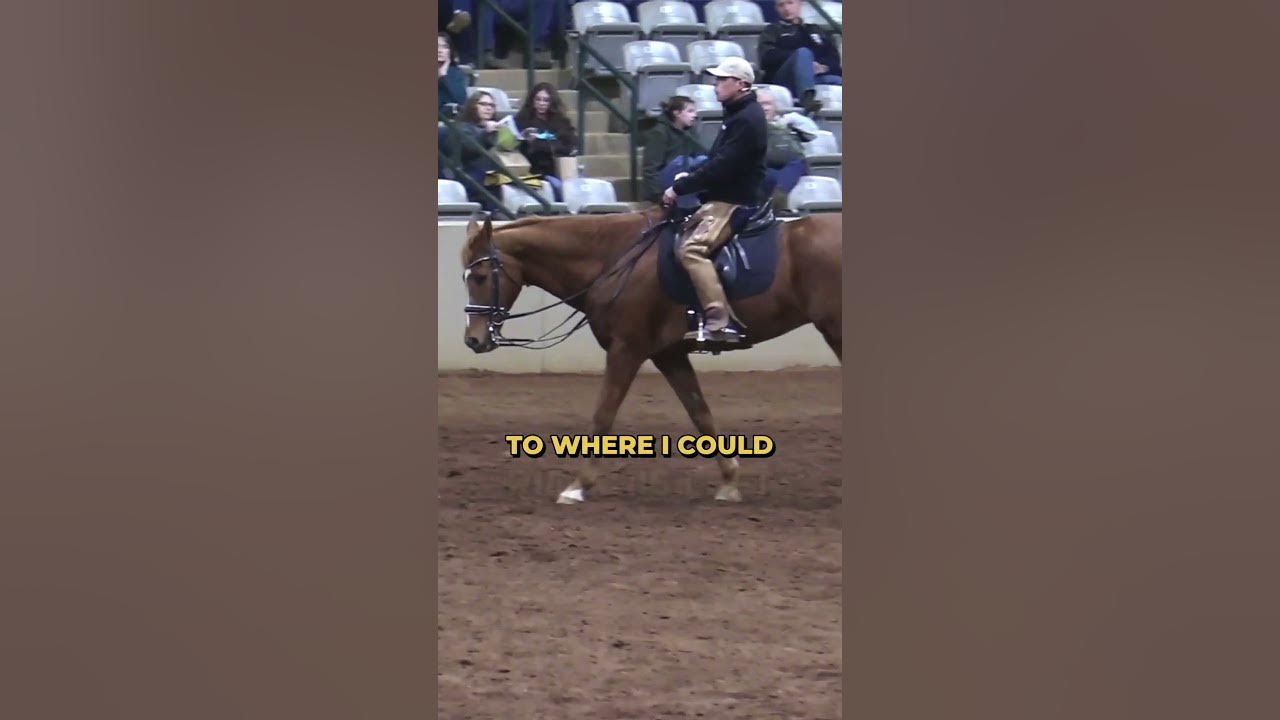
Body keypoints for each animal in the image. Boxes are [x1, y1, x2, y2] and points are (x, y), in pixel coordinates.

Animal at [459, 206, 841, 504]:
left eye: (479, 276)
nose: (474, 340)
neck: (614, 257)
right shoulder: (668, 355)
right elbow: (700, 414)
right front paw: (729, 481)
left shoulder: (626, 348)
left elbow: (603, 415)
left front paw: (577, 486)